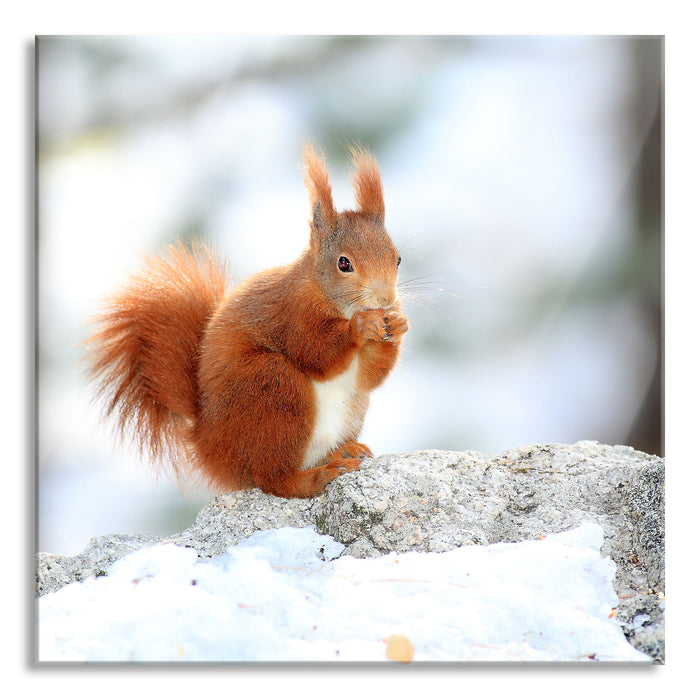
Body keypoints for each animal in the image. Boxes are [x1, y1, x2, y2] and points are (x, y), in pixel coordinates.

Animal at [84, 145, 408, 498]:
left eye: (397, 258)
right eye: (344, 263)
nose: (386, 299)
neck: (331, 297)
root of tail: (208, 446)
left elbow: (369, 377)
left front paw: (399, 324)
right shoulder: (292, 313)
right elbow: (316, 353)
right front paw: (360, 327)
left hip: (347, 409)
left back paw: (343, 451)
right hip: (272, 389)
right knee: (274, 478)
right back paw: (318, 476)